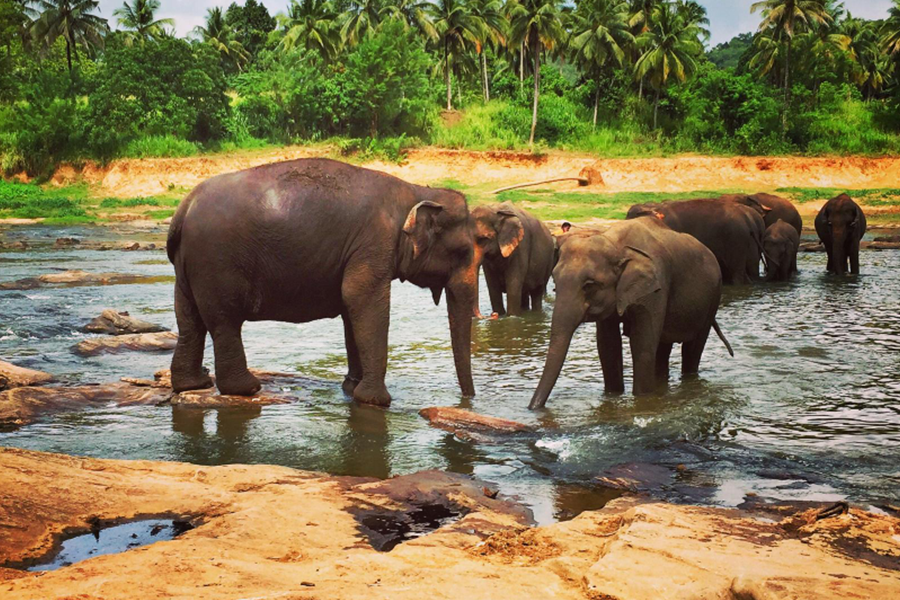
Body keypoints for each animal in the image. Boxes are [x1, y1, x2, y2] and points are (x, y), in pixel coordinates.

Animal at [166, 158, 477, 406]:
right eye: (463, 252)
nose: (469, 399)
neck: (416, 191)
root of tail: (183, 208)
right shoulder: (375, 243)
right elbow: (360, 298)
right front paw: (377, 401)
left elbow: (352, 307)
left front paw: (351, 389)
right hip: (216, 262)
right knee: (224, 321)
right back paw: (247, 387)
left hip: (189, 266)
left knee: (189, 318)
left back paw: (195, 383)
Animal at [529, 217, 733, 409]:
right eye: (555, 281)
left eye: (589, 285)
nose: (531, 408)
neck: (616, 244)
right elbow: (607, 345)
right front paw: (613, 397)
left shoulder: (656, 287)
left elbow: (642, 344)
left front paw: (642, 401)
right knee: (663, 349)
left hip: (714, 296)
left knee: (693, 347)